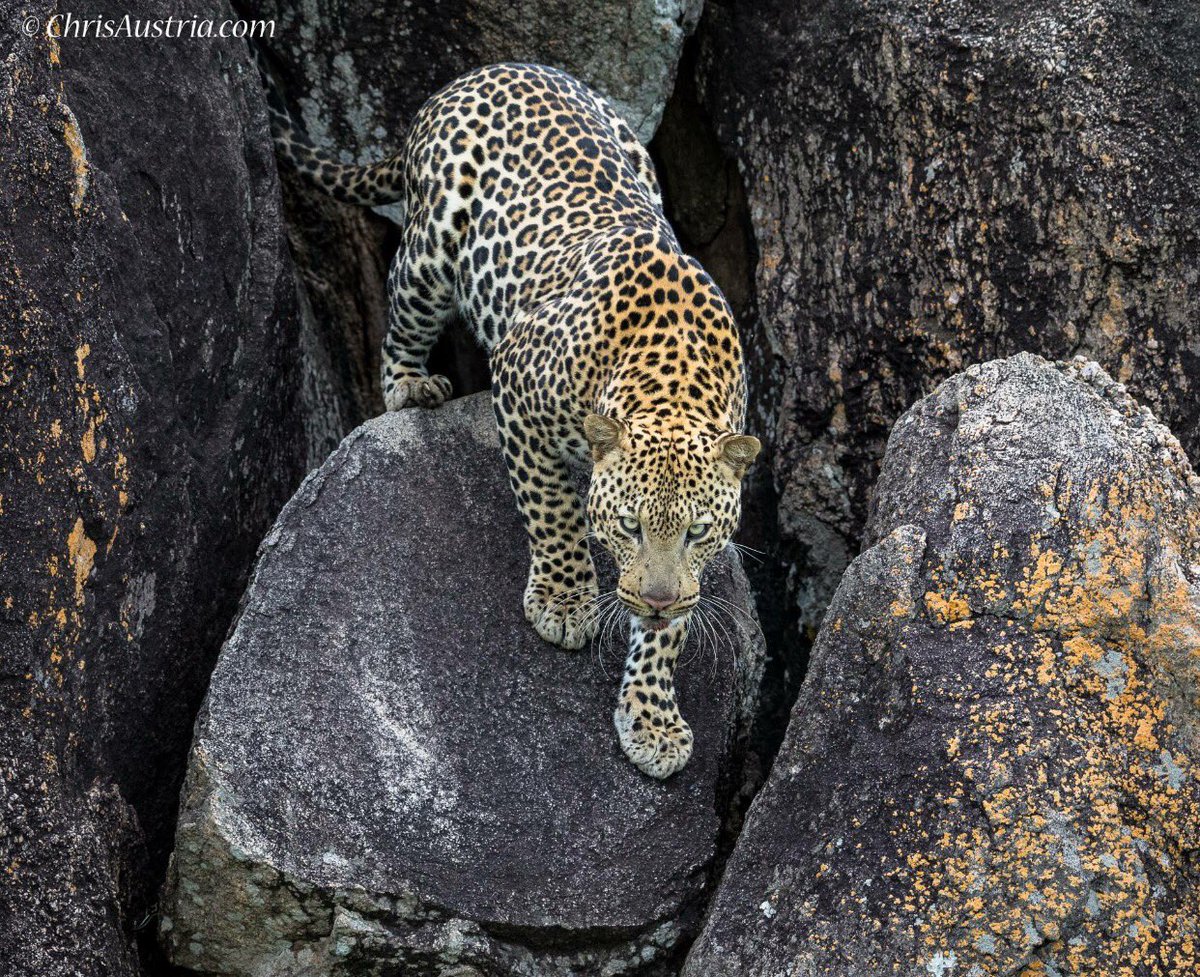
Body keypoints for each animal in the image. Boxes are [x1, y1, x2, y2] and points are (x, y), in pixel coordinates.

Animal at [262, 61, 758, 782]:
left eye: (697, 531)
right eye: (629, 526)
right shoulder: (518, 388)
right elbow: (553, 509)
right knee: (404, 307)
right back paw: (411, 385)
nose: (659, 600)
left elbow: (668, 633)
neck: (671, 385)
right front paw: (565, 601)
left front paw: (652, 719)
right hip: (433, 247)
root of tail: (481, 72)